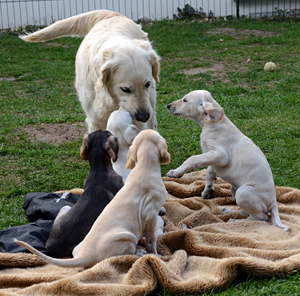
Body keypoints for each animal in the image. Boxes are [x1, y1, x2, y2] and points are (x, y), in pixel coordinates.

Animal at [16, 130, 170, 268]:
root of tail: (85, 256)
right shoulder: (151, 215)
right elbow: (152, 240)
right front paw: (156, 255)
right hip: (127, 238)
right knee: (125, 256)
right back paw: (140, 253)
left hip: (68, 216)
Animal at [19, 10, 161, 132]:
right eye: (125, 89)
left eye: (147, 84)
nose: (143, 116)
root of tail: (114, 15)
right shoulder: (95, 120)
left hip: (151, 103)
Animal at [168, 90, 290, 231]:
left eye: (185, 100)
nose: (168, 105)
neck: (213, 124)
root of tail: (274, 203)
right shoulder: (213, 157)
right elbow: (209, 170)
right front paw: (207, 189)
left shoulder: (221, 156)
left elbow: (193, 158)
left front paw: (176, 172)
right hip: (234, 190)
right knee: (248, 211)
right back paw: (229, 211)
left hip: (244, 191)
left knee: (261, 217)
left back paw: (234, 220)